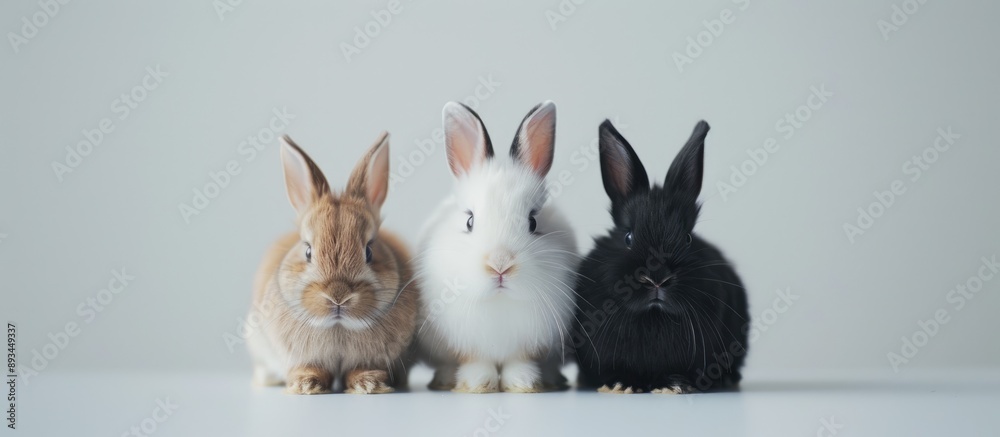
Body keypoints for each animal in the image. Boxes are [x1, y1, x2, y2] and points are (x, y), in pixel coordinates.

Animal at [246, 132, 419, 395]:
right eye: (308, 251)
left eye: (369, 251)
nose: (338, 297)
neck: (339, 328)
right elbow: (310, 368)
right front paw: (305, 384)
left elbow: (361, 369)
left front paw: (369, 383)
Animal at [415, 101, 578, 393]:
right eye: (469, 220)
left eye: (533, 221)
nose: (500, 264)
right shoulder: (466, 342)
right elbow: (475, 361)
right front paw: (477, 383)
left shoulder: (529, 343)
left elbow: (519, 362)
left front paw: (524, 383)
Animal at [572, 120, 749, 394]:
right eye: (628, 237)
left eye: (687, 239)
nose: (657, 279)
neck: (652, 316)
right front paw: (622, 383)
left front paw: (673, 384)